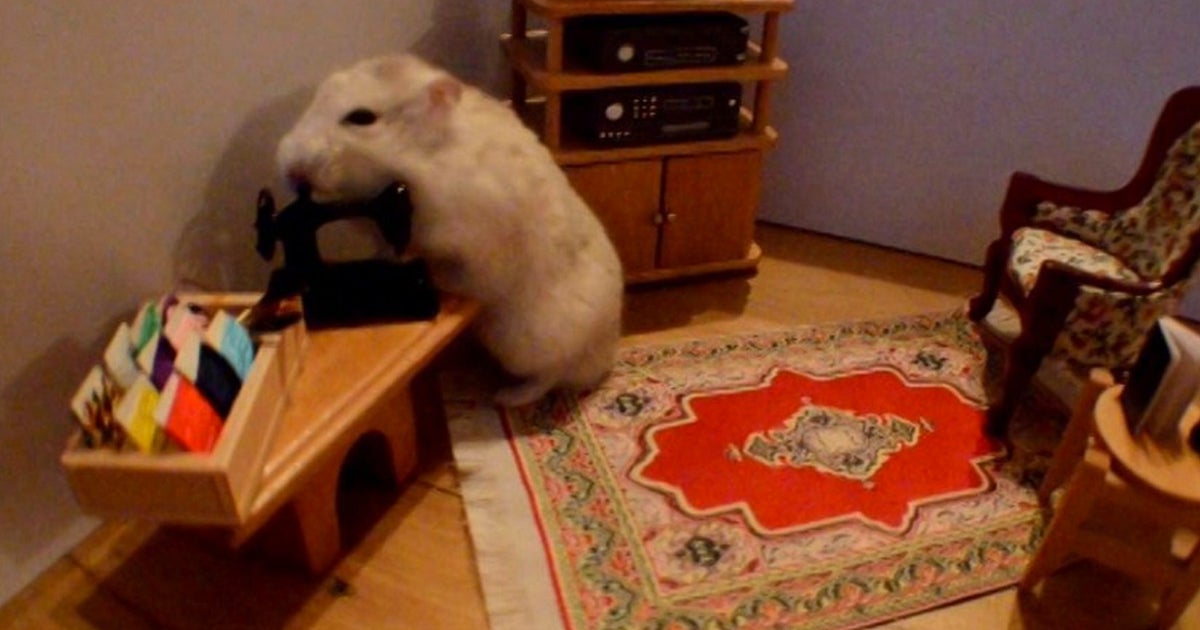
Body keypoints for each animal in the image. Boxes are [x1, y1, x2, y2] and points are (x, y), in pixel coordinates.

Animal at [276, 54, 624, 407]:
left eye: (362, 118)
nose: (289, 168)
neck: (420, 164)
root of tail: (605, 357)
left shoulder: (451, 235)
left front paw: (405, 262)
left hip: (530, 342)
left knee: (549, 375)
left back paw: (504, 397)